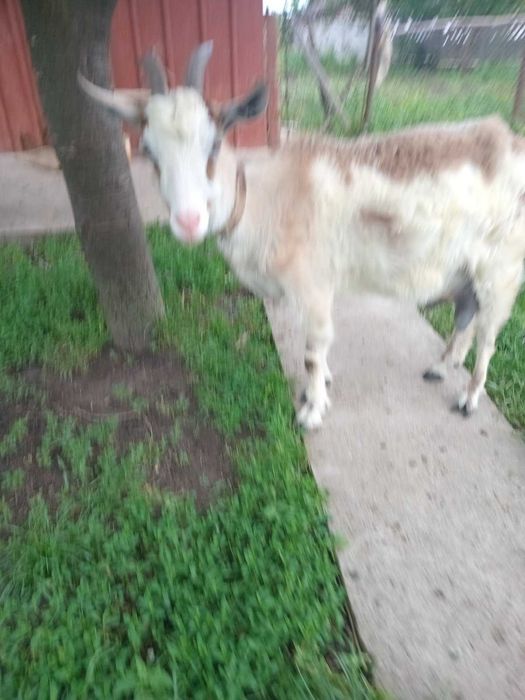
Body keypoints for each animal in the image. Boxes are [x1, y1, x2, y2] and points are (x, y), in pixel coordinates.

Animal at [79, 43, 525, 430]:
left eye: (216, 142)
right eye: (149, 152)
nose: (188, 221)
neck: (265, 202)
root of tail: (511, 142)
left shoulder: (312, 284)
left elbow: (312, 350)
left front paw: (312, 410)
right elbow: (314, 349)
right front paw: (321, 385)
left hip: (502, 267)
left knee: (489, 333)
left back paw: (469, 398)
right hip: (465, 268)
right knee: (466, 312)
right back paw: (440, 366)